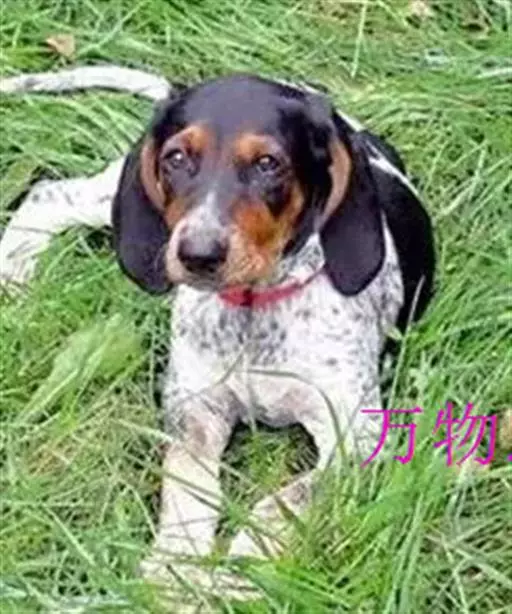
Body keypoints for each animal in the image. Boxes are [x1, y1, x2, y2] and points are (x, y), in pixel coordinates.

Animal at [0, 68, 435, 591]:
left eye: (268, 164)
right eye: (177, 158)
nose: (198, 254)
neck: (252, 312)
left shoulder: (354, 432)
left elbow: (287, 500)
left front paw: (241, 567)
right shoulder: (194, 407)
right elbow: (186, 486)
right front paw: (175, 568)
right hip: (121, 202)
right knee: (50, 194)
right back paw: (14, 272)